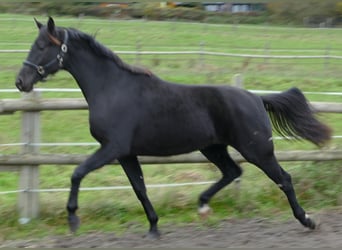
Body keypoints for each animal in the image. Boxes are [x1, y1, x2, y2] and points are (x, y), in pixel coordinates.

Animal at [14, 18, 330, 238]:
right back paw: (202, 205)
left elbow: (77, 173)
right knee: (232, 172)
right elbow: (140, 188)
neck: (112, 88)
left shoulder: (112, 148)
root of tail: (255, 97)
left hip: (257, 149)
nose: (20, 82)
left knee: (283, 178)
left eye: (41, 46)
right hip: (213, 148)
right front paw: (154, 227)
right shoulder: (126, 154)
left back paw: (308, 220)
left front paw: (72, 220)